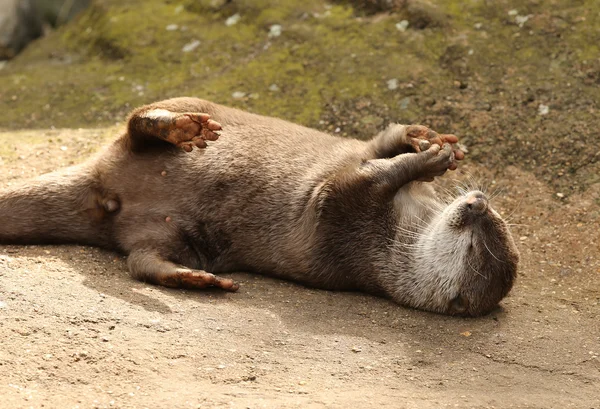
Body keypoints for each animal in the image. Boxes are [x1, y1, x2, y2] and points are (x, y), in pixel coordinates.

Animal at [0, 98, 516, 316]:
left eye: (476, 246)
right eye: (497, 222)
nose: (477, 202)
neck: (401, 226)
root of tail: (101, 181)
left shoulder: (342, 218)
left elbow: (357, 181)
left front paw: (428, 157)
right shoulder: (359, 166)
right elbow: (382, 145)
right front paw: (430, 144)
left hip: (172, 235)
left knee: (140, 262)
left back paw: (193, 279)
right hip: (166, 116)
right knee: (136, 120)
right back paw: (181, 128)